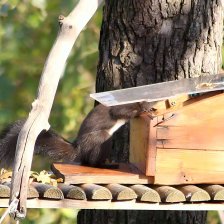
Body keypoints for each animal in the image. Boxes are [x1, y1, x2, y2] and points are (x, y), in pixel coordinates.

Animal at [0, 101, 154, 168]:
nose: (152, 106)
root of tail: (79, 149)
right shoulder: (119, 107)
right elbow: (120, 111)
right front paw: (143, 110)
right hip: (101, 138)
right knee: (92, 162)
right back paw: (105, 165)